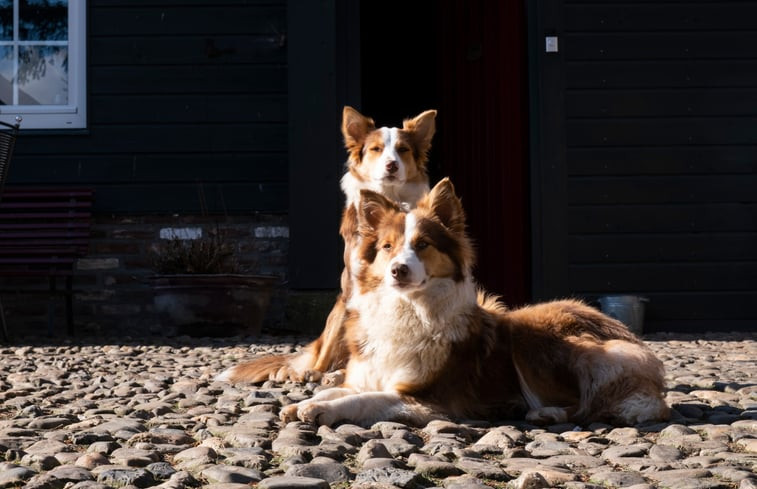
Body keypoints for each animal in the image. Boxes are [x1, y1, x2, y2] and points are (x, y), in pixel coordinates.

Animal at [216, 107, 434, 386]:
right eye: (376, 149)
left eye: (403, 149)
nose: (391, 165)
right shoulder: (353, 288)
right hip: (338, 311)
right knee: (325, 355)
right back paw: (307, 373)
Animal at [278, 179, 668, 428]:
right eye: (387, 246)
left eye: (422, 245)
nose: (397, 270)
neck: (406, 309)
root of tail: (623, 332)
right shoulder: (367, 375)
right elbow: (338, 388)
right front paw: (305, 402)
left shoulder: (429, 399)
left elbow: (364, 400)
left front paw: (324, 411)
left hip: (533, 338)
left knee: (592, 405)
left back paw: (546, 413)